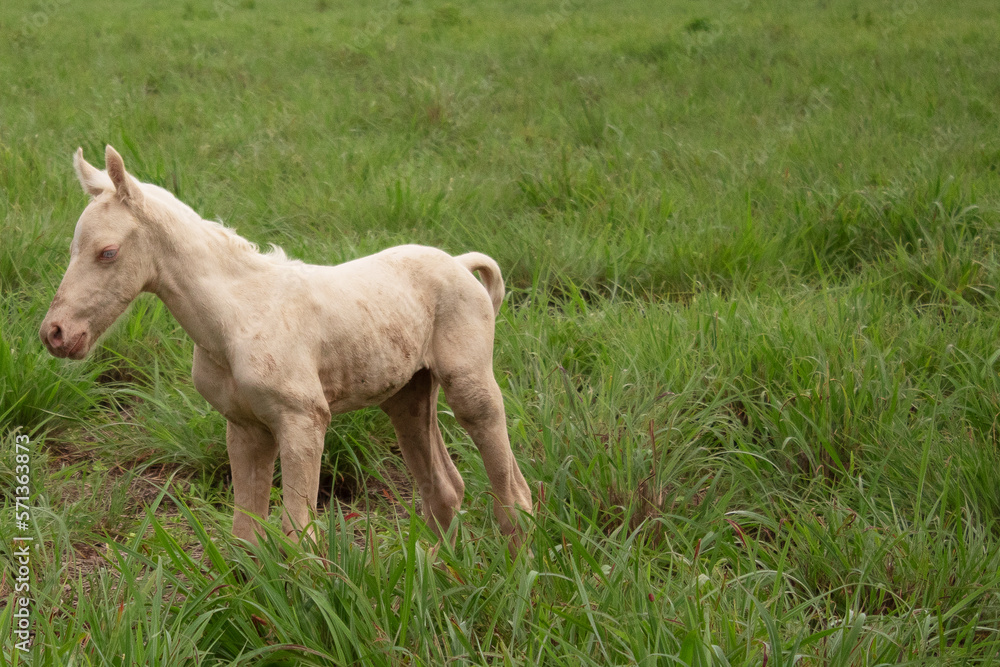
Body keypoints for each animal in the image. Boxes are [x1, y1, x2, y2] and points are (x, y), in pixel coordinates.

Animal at [40, 145, 532, 550]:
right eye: (72, 249)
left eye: (107, 252)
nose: (56, 334)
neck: (238, 317)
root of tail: (459, 263)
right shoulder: (246, 427)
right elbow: (246, 533)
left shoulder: (304, 419)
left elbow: (299, 534)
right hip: (407, 395)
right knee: (444, 489)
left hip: (468, 384)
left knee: (512, 487)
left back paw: (516, 570)